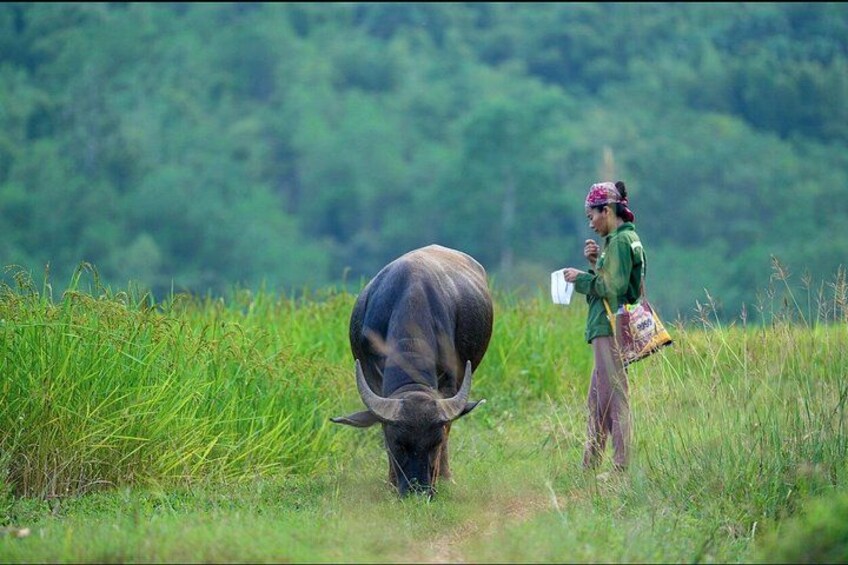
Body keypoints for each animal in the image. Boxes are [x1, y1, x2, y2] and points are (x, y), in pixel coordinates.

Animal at [331, 244, 494, 497]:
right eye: (397, 443)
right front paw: (390, 482)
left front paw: (444, 478)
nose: (419, 491)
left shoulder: (450, 382)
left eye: (436, 443)